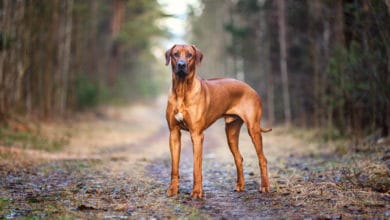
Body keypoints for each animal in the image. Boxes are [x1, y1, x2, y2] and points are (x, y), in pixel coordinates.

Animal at [165, 43, 272, 199]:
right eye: (176, 54)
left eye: (190, 55)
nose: (181, 65)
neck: (182, 90)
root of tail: (251, 88)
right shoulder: (173, 133)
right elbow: (174, 167)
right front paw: (173, 190)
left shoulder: (197, 135)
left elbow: (196, 167)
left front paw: (197, 192)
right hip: (231, 132)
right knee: (239, 158)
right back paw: (240, 186)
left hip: (253, 129)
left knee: (262, 159)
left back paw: (264, 186)